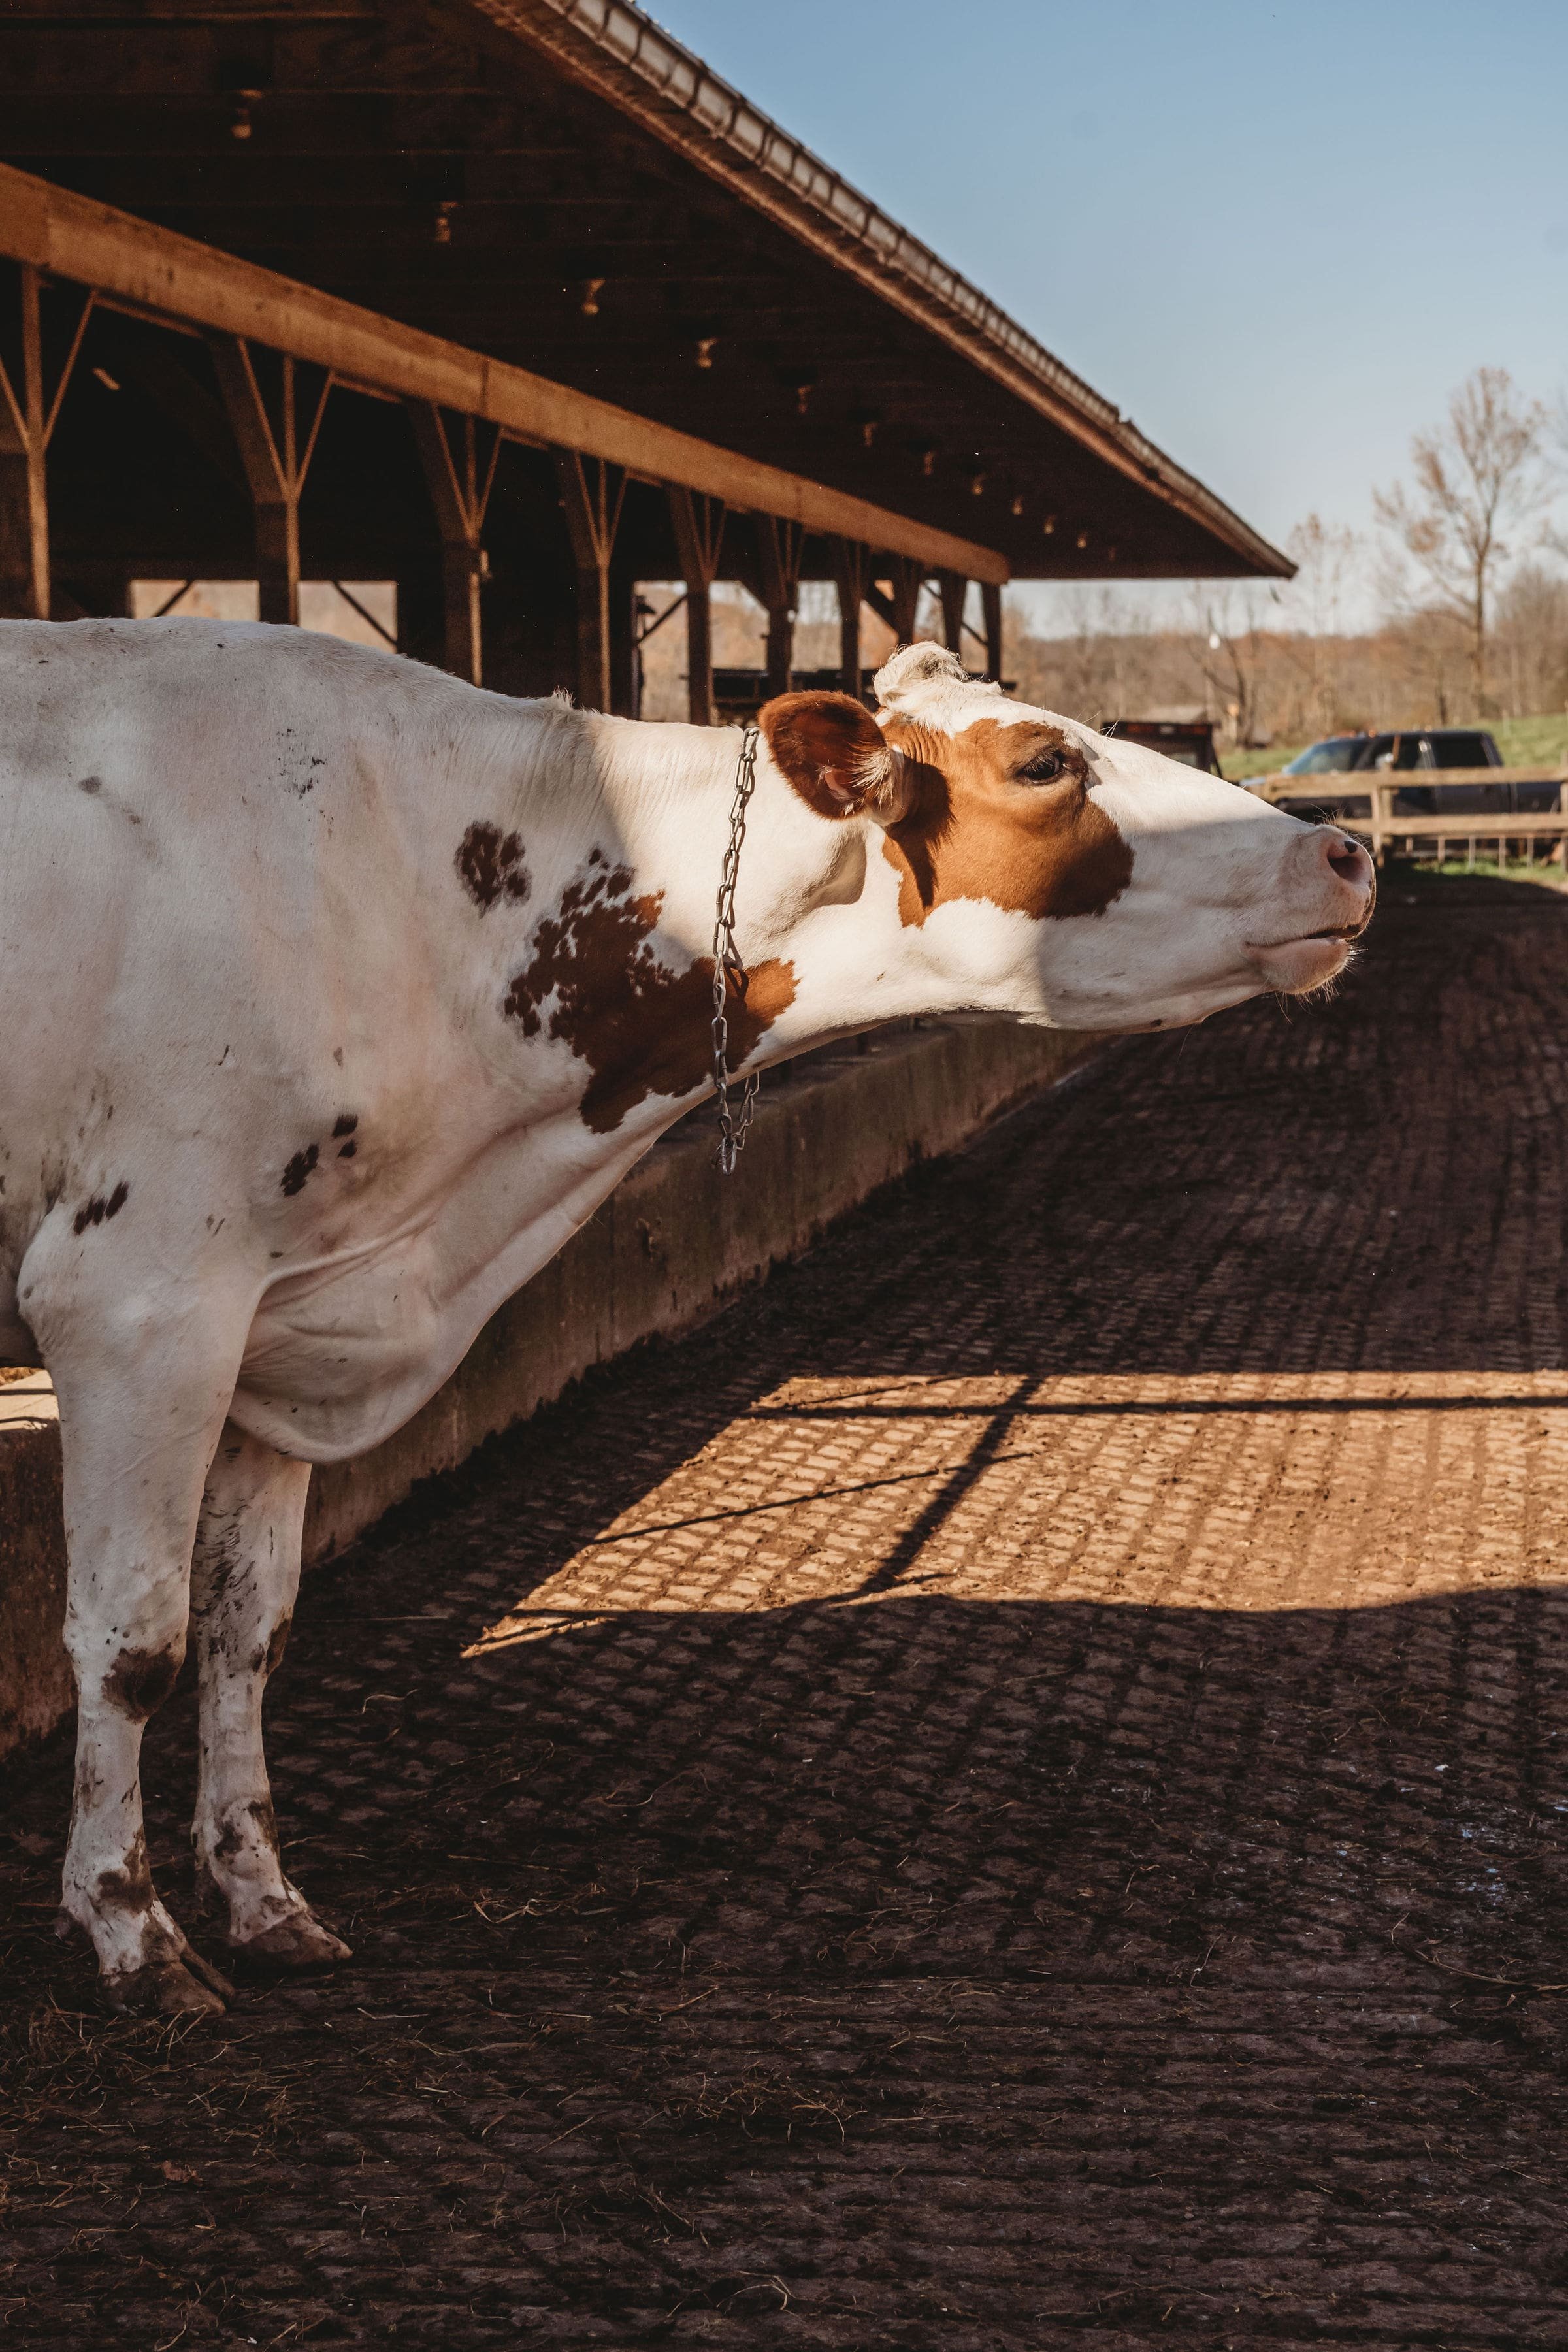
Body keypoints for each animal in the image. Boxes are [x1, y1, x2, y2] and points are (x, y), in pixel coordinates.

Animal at [0, 616, 1373, 2013]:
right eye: (1044, 760)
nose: (1346, 852)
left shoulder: (300, 1321)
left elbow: (249, 1631)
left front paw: (263, 1898)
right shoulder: (141, 1301)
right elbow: (134, 1642)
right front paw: (127, 1930)